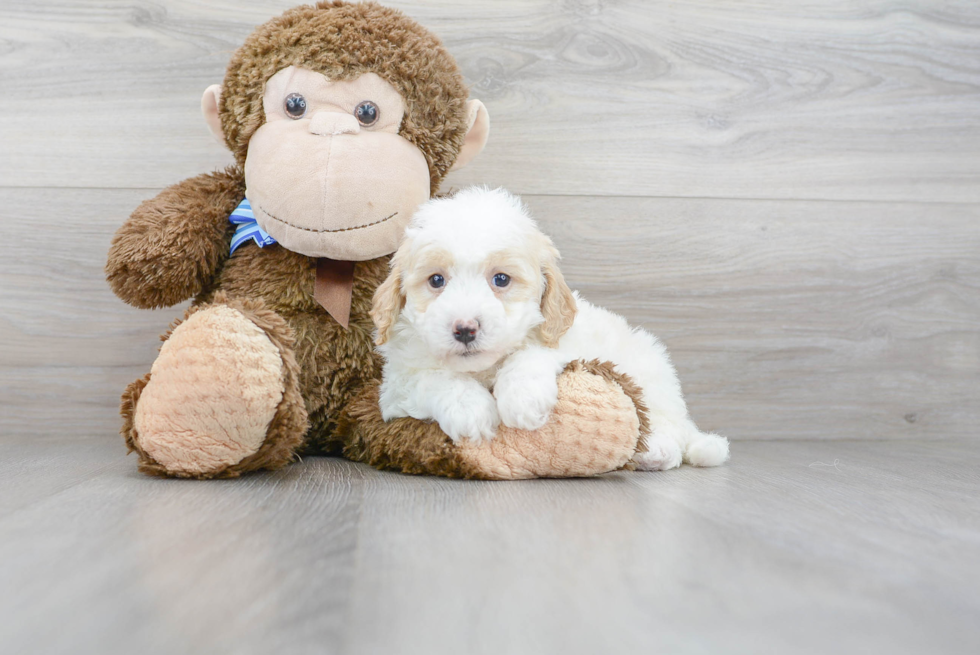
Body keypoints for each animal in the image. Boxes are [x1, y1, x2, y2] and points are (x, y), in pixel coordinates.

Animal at [372, 187, 732, 468]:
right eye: (436, 280)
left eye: (501, 279)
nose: (464, 329)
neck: (483, 369)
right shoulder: (396, 387)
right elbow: (433, 379)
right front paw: (470, 410)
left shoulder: (569, 343)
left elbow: (531, 355)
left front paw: (521, 399)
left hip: (652, 378)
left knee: (670, 429)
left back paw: (655, 451)